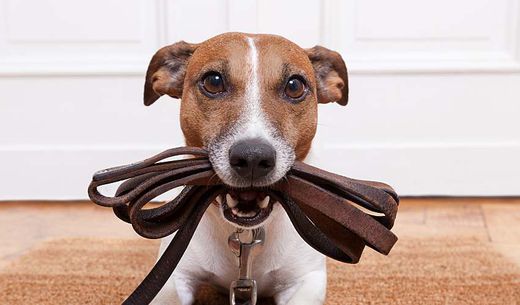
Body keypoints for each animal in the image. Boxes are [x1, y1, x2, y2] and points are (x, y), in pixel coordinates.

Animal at [142, 32, 350, 302]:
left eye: (294, 86)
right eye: (213, 82)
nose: (253, 158)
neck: (245, 234)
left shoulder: (307, 279)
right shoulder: (173, 278)